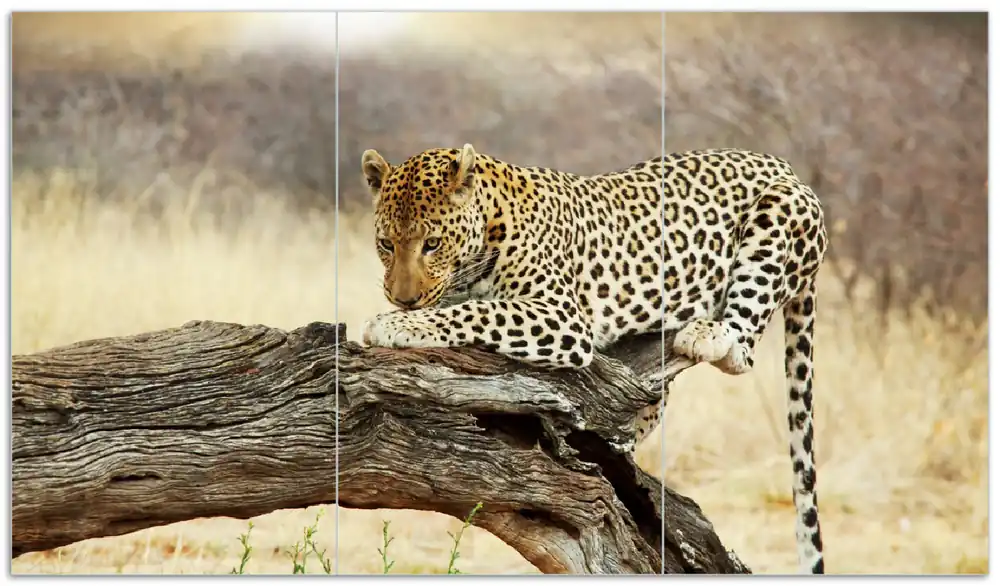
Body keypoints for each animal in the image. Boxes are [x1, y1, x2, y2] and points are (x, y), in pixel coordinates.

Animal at [358, 143, 828, 574]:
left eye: (432, 244)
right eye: (385, 244)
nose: (402, 298)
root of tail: (782, 165)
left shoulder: (560, 315)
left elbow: (477, 311)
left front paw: (396, 324)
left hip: (777, 216)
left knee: (742, 347)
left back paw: (707, 334)